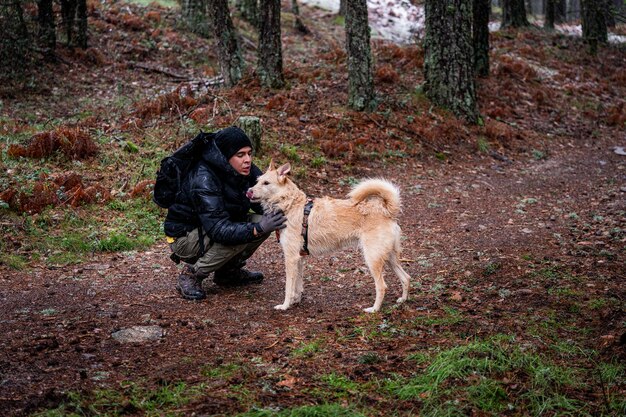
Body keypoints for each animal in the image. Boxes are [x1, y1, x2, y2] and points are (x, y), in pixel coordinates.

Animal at [244, 161, 410, 310]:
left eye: (266, 183)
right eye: (257, 181)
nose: (248, 191)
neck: (290, 205)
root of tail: (386, 211)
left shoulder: (290, 258)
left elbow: (288, 287)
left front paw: (285, 305)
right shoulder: (299, 258)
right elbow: (297, 285)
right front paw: (295, 301)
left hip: (372, 258)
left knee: (382, 286)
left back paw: (374, 309)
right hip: (389, 257)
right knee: (406, 278)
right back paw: (402, 300)